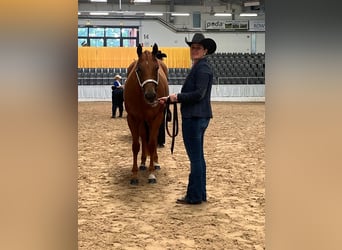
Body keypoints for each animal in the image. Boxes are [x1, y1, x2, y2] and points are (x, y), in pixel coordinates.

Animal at [124, 43, 170, 185]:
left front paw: (151, 174)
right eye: (138, 69)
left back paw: (155, 162)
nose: (150, 96)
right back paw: (143, 163)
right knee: (144, 137)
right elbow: (136, 145)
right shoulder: (133, 119)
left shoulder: (156, 118)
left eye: (156, 68)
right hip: (142, 120)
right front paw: (134, 175)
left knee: (151, 140)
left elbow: (152, 143)